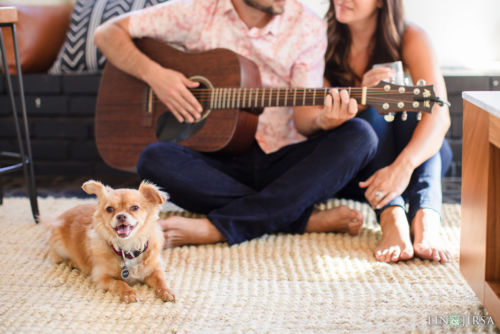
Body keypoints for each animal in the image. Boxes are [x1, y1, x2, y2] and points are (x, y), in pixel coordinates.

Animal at [44, 180, 176, 302]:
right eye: (109, 209)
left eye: (135, 208)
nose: (121, 216)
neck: (128, 247)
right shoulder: (102, 278)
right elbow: (119, 283)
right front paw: (129, 293)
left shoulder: (155, 269)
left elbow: (161, 280)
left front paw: (167, 291)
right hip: (59, 246)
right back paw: (73, 262)